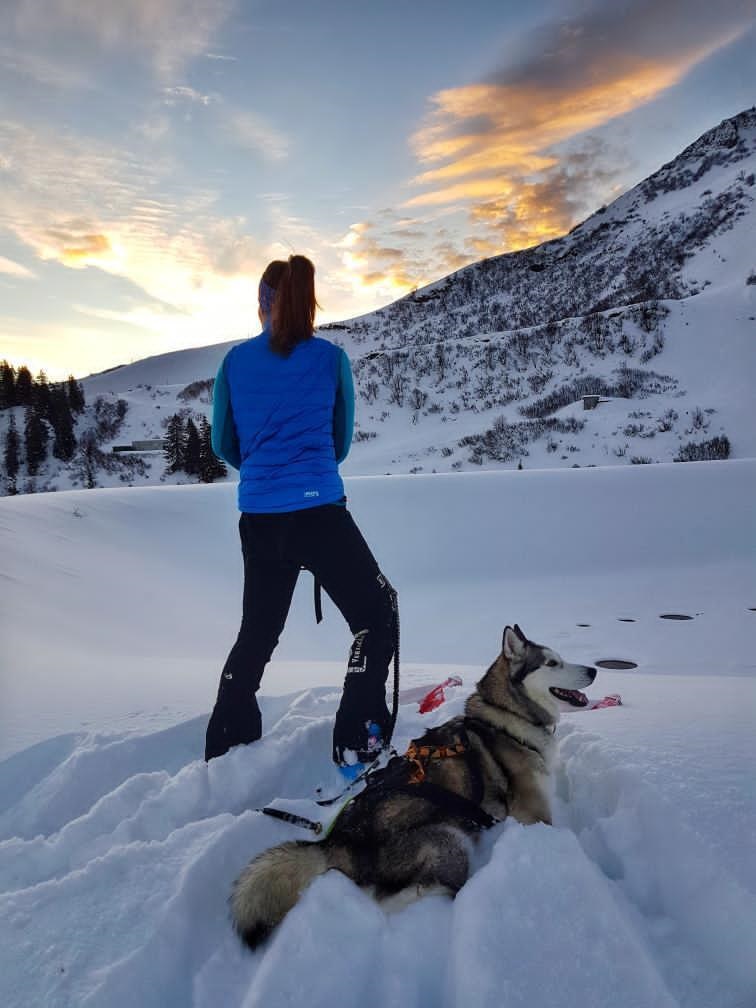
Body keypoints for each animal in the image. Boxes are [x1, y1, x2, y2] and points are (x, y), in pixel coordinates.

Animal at [230, 620, 596, 943]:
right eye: (552, 663)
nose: (593, 670)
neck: (509, 716)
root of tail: (339, 840)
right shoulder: (534, 814)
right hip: (448, 838)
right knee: (398, 897)